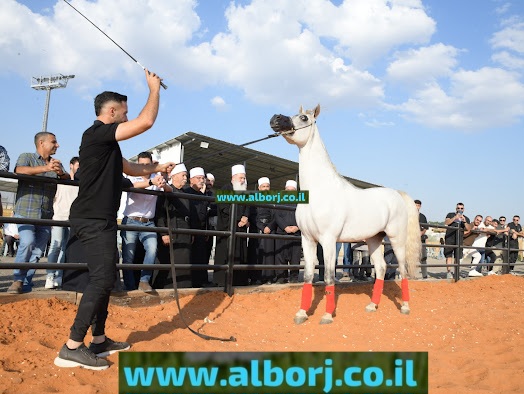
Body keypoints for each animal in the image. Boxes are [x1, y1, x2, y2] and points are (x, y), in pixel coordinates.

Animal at [270, 104, 422, 324]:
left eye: (304, 118)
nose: (275, 118)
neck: (319, 190)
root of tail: (397, 195)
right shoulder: (307, 239)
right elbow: (308, 276)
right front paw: (301, 314)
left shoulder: (328, 240)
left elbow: (328, 276)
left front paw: (327, 316)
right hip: (374, 240)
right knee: (381, 268)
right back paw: (372, 305)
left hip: (396, 239)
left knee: (402, 270)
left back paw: (405, 307)